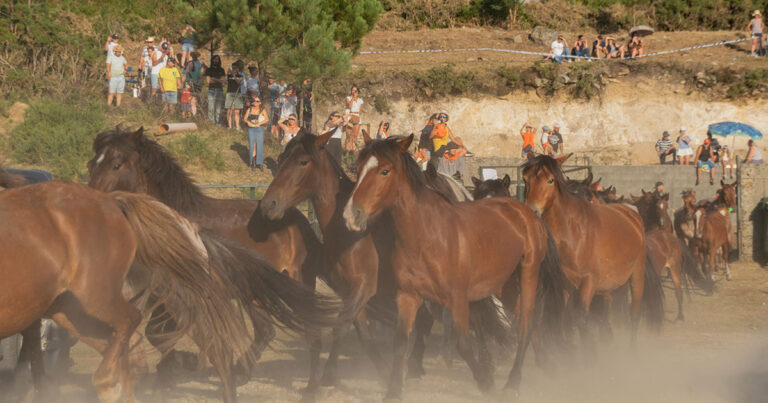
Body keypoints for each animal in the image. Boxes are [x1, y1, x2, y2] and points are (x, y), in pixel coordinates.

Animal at [342, 137, 568, 400]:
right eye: (358, 169)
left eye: (384, 171)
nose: (351, 215)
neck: (428, 235)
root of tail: (529, 215)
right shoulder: (408, 295)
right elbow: (401, 341)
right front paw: (394, 391)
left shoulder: (457, 298)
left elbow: (464, 344)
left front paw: (486, 381)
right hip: (505, 286)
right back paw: (545, 365)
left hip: (528, 274)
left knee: (526, 324)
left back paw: (513, 383)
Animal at [520, 153, 664, 346]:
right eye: (525, 179)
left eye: (550, 180)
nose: (532, 211)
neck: (573, 236)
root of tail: (632, 214)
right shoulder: (565, 285)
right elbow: (566, 320)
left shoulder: (589, 282)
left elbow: (582, 319)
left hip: (636, 276)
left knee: (634, 313)